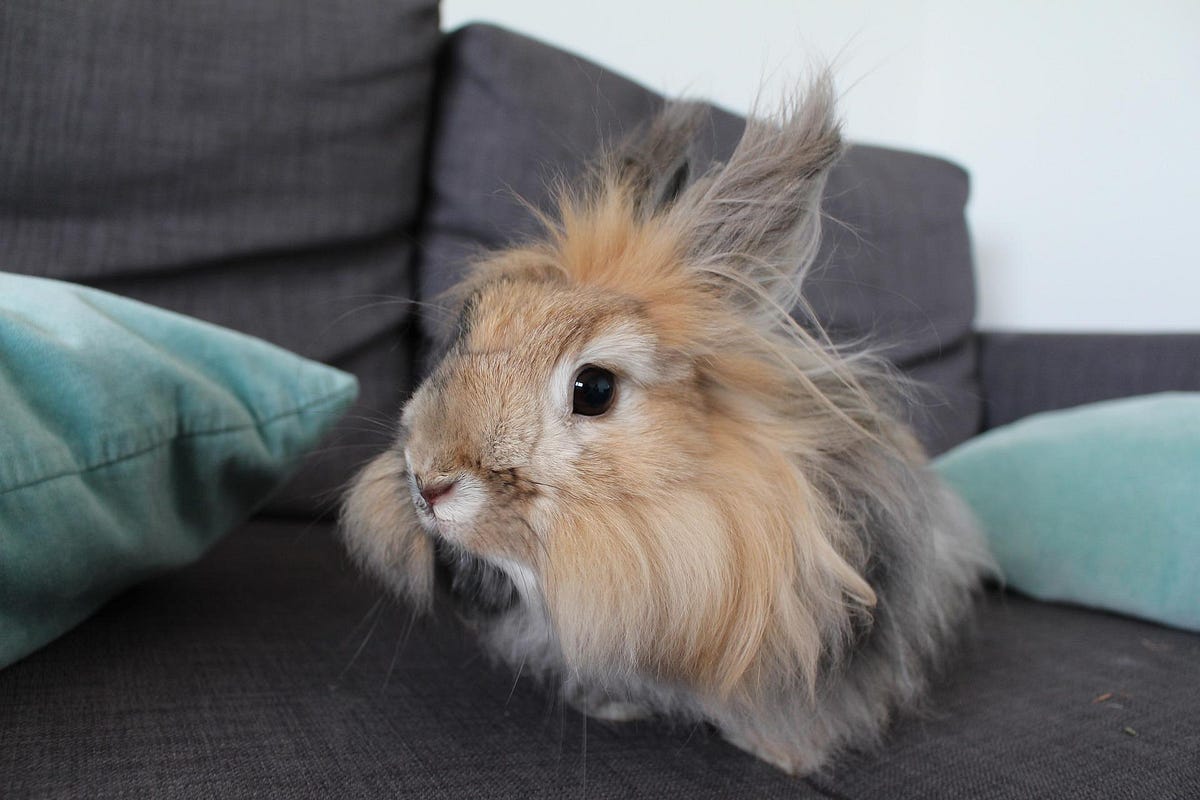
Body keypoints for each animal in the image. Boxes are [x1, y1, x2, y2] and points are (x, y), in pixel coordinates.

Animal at [341, 76, 993, 776]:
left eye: (594, 389)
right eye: (469, 328)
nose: (427, 483)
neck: (680, 513)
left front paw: (782, 756)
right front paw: (613, 706)